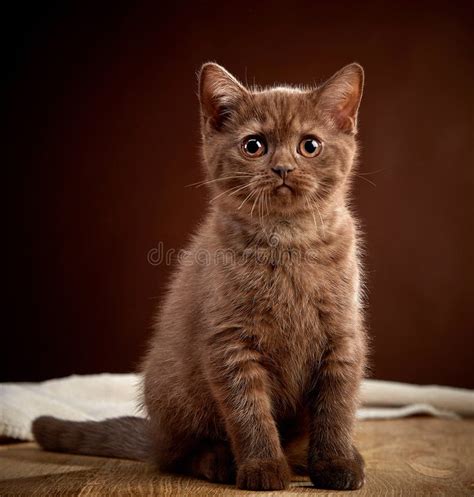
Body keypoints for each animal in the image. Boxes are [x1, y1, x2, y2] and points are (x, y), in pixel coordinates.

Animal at [33, 60, 368, 490]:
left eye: (310, 145)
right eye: (253, 145)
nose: (282, 168)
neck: (287, 239)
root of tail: (154, 434)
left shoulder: (342, 338)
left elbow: (336, 411)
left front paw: (336, 464)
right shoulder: (229, 343)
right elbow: (249, 413)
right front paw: (262, 469)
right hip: (176, 393)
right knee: (177, 453)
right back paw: (219, 461)